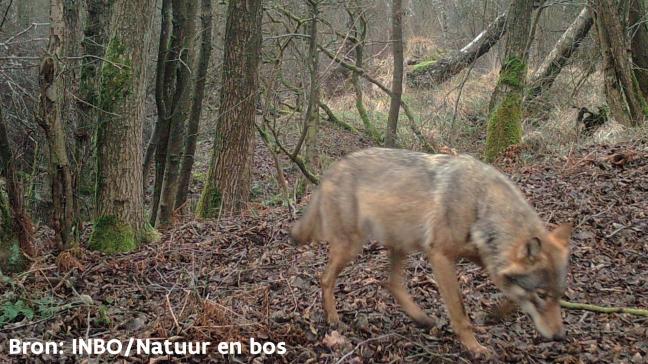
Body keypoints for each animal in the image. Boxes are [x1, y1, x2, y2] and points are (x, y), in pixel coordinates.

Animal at [292, 147, 568, 356]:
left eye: (558, 295)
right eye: (541, 295)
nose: (559, 337)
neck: (480, 204)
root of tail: (331, 169)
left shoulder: (484, 259)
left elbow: (509, 294)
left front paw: (494, 314)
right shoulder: (441, 256)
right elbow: (459, 312)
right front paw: (475, 348)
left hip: (399, 244)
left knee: (392, 284)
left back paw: (421, 319)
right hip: (352, 247)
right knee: (325, 278)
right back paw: (333, 319)